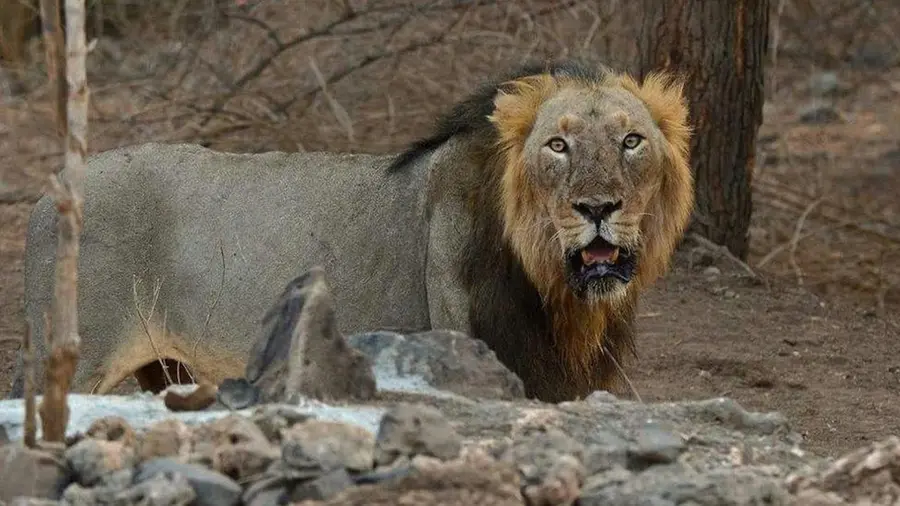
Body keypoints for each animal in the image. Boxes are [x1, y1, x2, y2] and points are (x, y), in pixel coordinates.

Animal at [12, 59, 693, 403]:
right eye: (557, 145)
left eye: (632, 141)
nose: (597, 206)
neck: (560, 294)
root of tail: (48, 194)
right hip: (74, 355)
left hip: (167, 369)